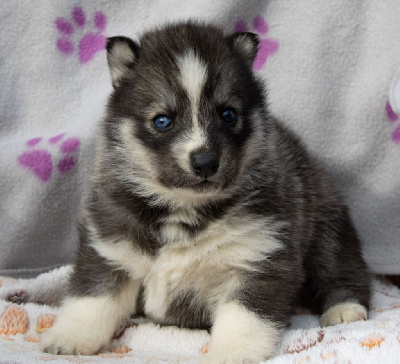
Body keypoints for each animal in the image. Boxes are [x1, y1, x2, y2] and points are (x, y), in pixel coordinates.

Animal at [42, 22, 370, 362]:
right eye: (162, 120)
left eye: (228, 114)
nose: (205, 162)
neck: (184, 209)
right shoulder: (109, 248)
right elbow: (92, 299)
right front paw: (70, 338)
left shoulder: (259, 257)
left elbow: (244, 318)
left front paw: (231, 353)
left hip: (327, 229)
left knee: (340, 269)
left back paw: (344, 309)